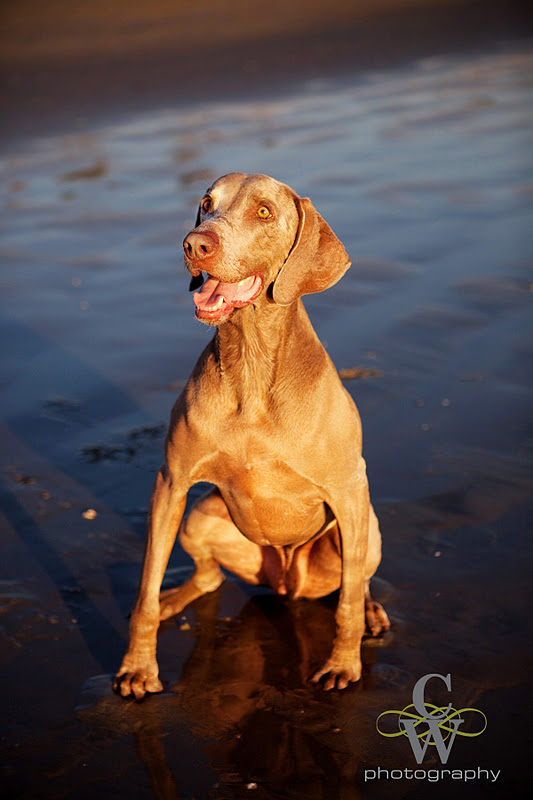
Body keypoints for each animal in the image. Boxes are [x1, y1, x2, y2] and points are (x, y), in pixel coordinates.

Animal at [113, 172, 386, 696]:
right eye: (206, 204)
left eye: (263, 211)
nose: (195, 244)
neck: (251, 363)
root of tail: (285, 580)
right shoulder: (172, 483)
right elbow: (145, 591)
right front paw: (138, 667)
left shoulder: (350, 487)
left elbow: (345, 603)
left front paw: (343, 665)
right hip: (202, 516)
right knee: (209, 579)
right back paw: (179, 597)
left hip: (364, 527)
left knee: (354, 580)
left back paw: (370, 612)